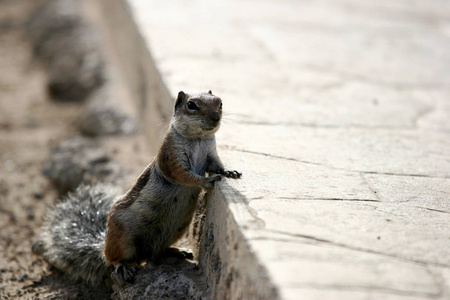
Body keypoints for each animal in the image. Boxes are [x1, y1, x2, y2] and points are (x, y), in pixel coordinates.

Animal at [33, 90, 241, 288]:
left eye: (220, 102)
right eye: (191, 105)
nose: (215, 117)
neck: (199, 139)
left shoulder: (211, 154)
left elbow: (217, 165)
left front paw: (229, 172)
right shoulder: (170, 157)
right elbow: (183, 174)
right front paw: (205, 181)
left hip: (177, 230)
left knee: (157, 253)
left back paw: (177, 251)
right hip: (122, 239)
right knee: (114, 260)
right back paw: (124, 267)